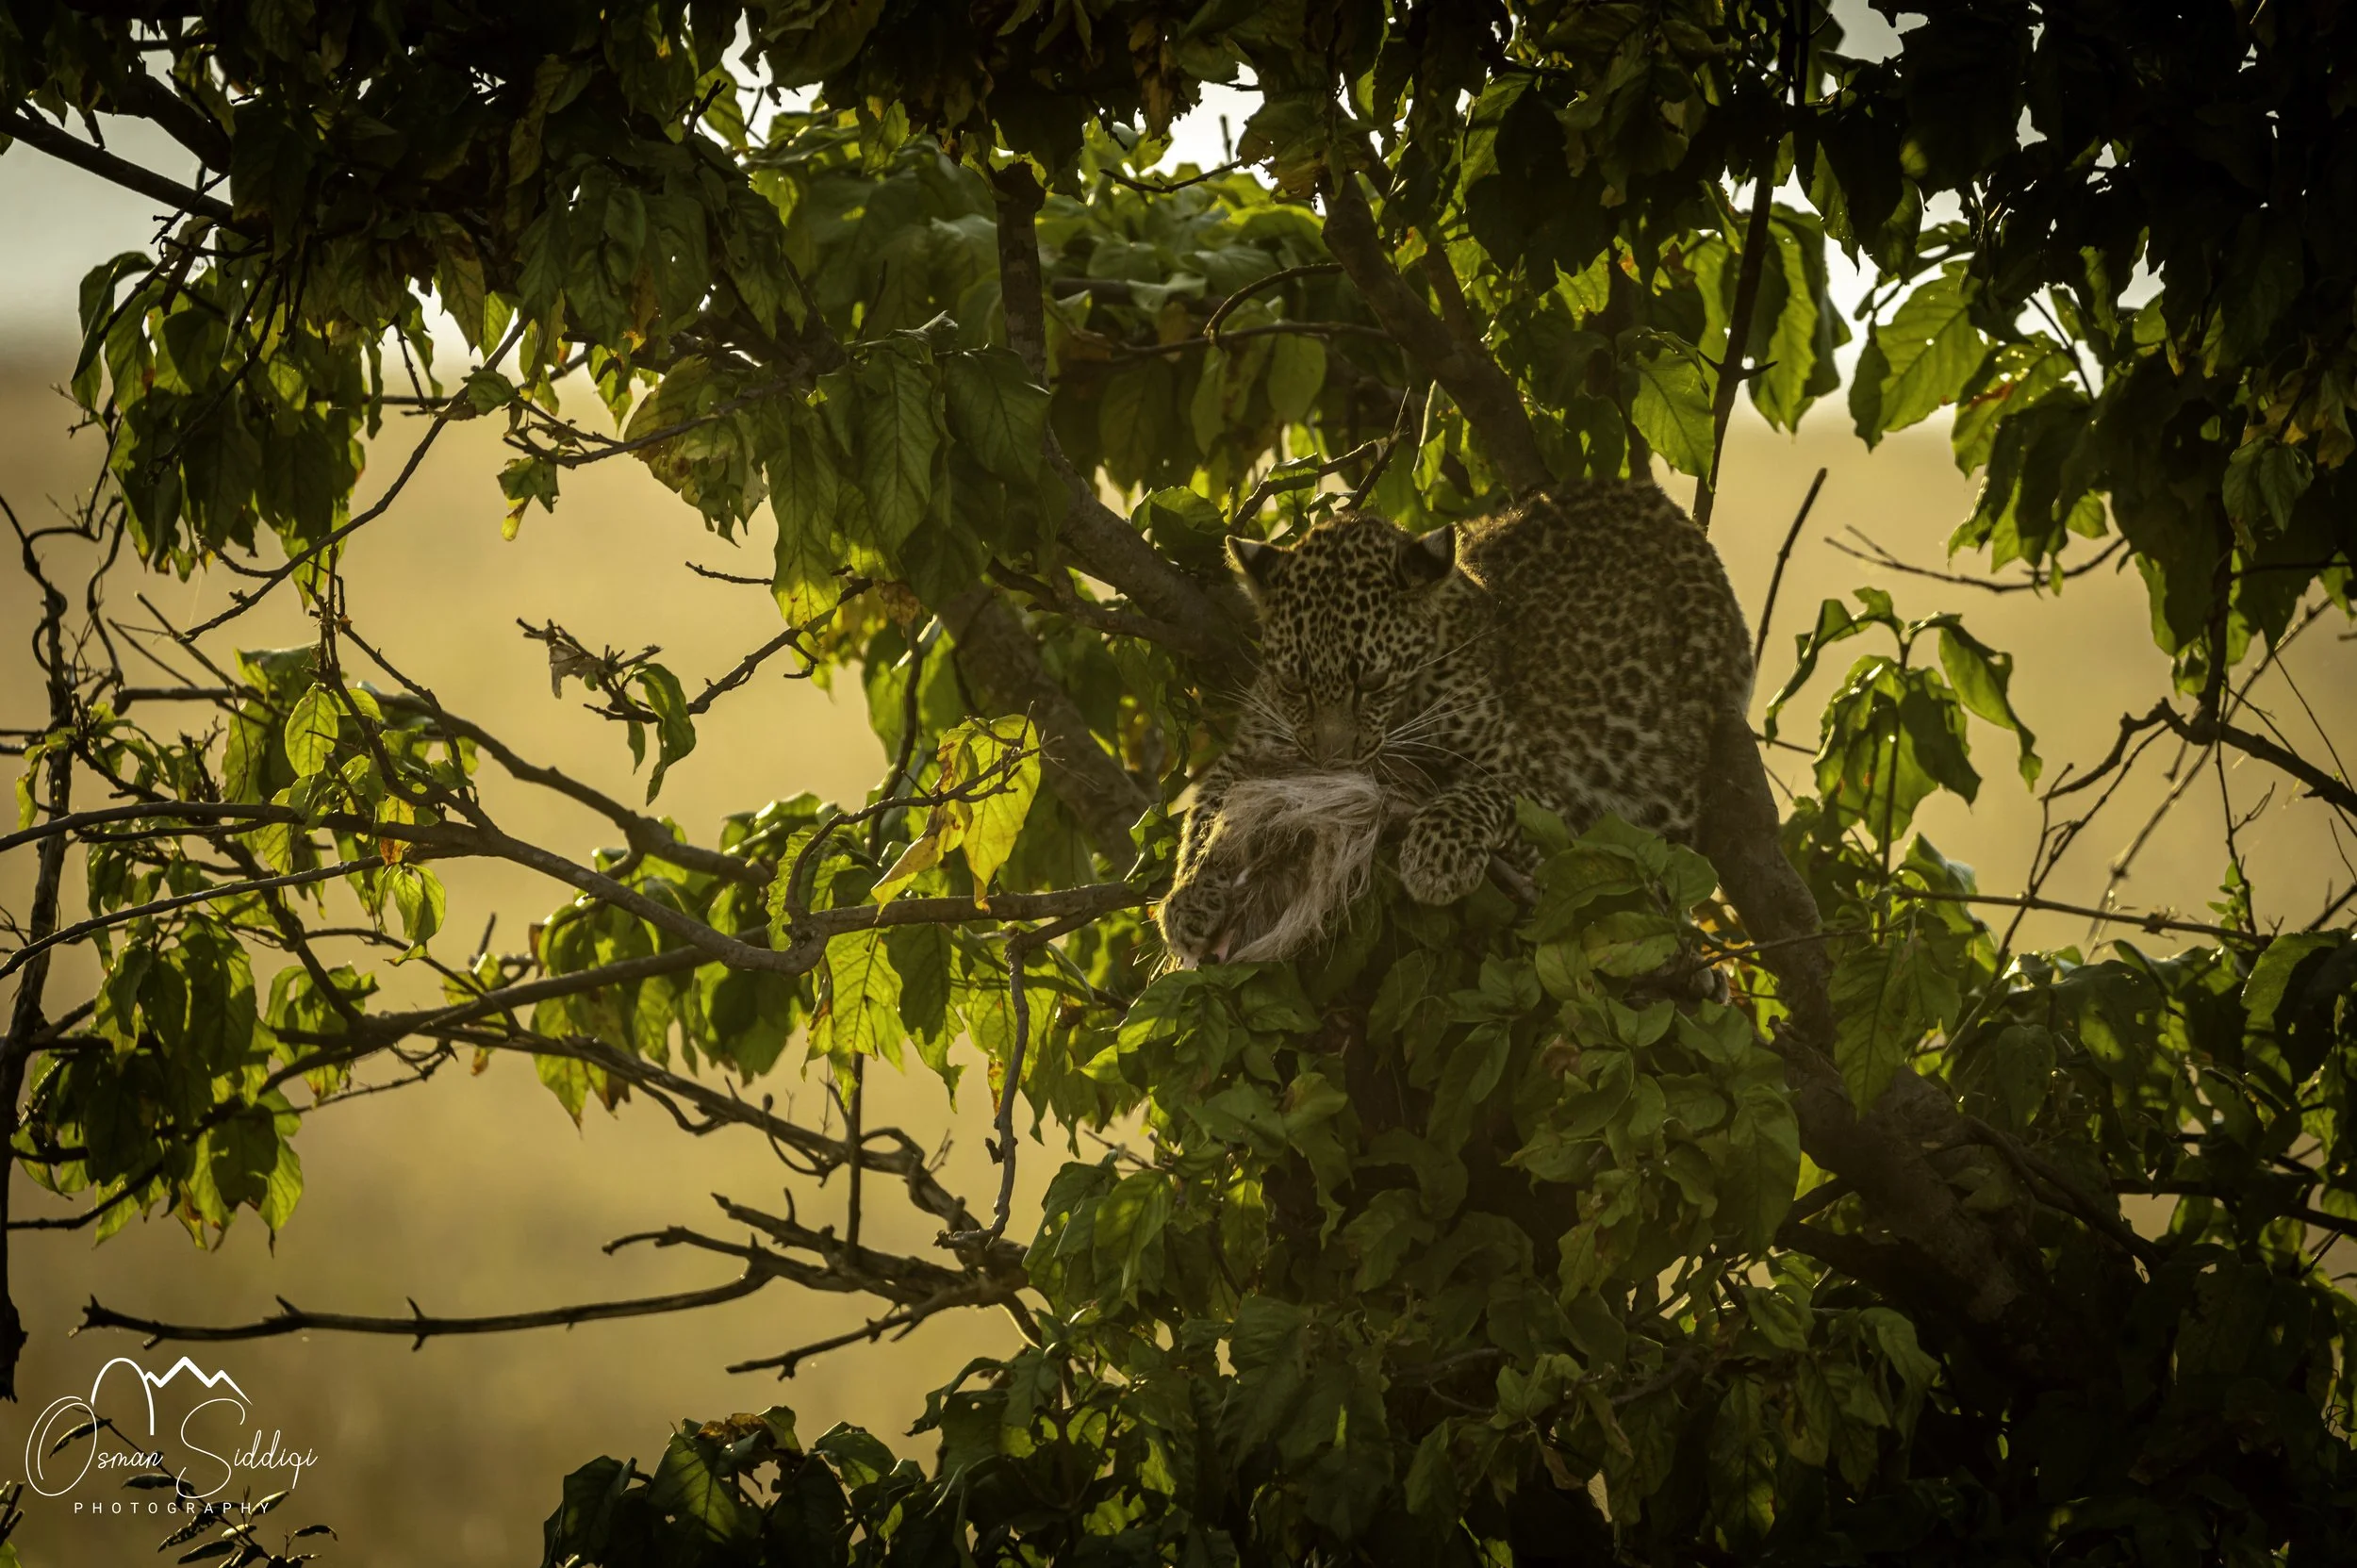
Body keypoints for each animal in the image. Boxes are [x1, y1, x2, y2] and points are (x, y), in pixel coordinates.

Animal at [1157, 480, 1752, 966]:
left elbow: (1480, 794)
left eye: (1371, 683)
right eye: (1294, 684)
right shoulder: (1252, 749)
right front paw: (1189, 897)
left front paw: (1436, 858)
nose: (1331, 764)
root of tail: (1662, 504)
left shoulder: (1535, 779)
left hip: (1671, 777)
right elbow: (1206, 812)